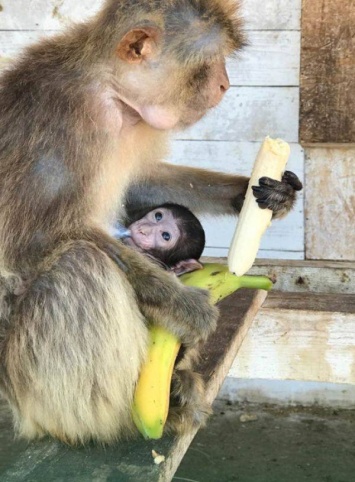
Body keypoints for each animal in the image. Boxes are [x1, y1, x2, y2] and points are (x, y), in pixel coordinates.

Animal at [0, 0, 304, 444]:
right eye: (211, 62)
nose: (225, 85)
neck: (110, 94)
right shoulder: (59, 122)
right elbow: (34, 240)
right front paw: (183, 304)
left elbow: (140, 183)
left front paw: (253, 192)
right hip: (24, 379)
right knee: (79, 264)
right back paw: (131, 419)